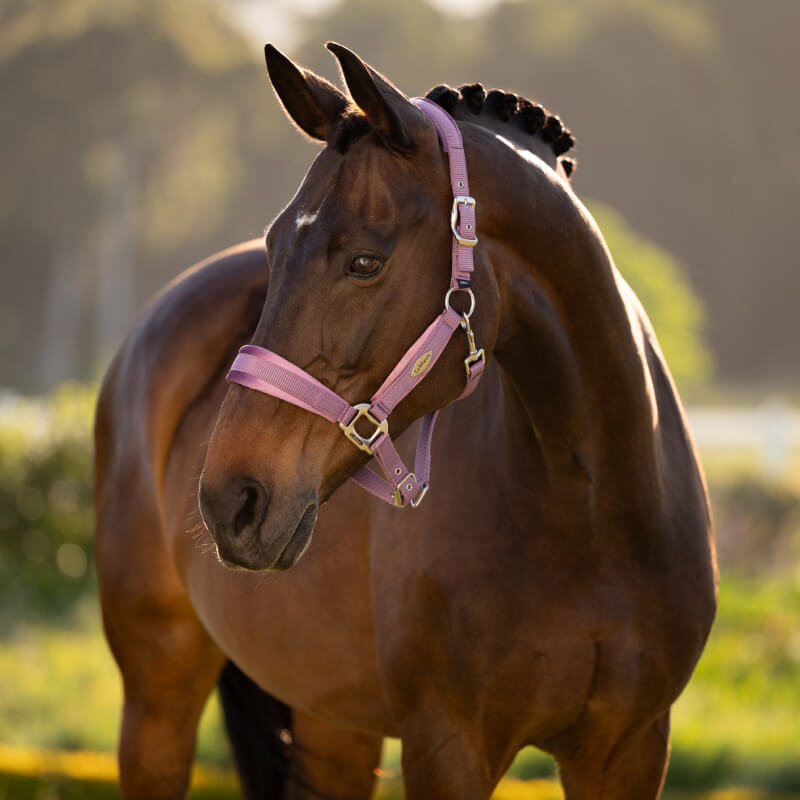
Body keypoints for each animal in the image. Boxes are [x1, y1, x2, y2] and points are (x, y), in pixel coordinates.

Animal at [93, 42, 717, 800]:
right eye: (273, 248)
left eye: (366, 260)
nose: (230, 500)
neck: (591, 516)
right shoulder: (445, 747)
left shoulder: (629, 748)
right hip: (158, 699)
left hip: (332, 722)